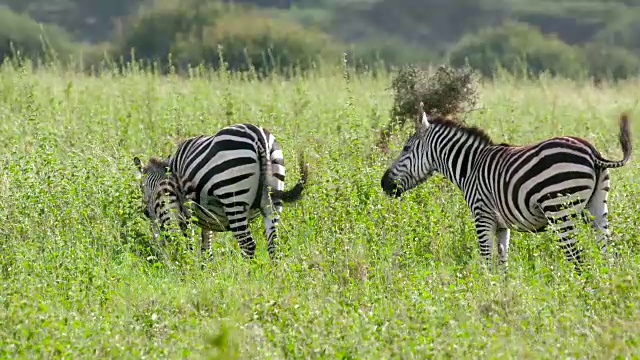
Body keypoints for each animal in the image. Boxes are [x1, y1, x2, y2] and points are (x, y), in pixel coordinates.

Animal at [132, 123, 308, 258]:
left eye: (142, 187)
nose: (147, 213)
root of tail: (260, 139)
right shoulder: (206, 214)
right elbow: (206, 243)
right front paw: (205, 268)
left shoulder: (185, 211)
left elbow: (188, 239)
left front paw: (189, 265)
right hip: (273, 199)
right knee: (273, 243)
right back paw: (273, 275)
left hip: (233, 197)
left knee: (248, 245)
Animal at [380, 104, 632, 272]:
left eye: (405, 148)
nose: (384, 184)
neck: (470, 167)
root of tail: (593, 152)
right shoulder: (502, 224)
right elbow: (502, 263)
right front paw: (503, 291)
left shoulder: (482, 216)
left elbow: (486, 260)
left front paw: (485, 291)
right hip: (598, 207)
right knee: (607, 254)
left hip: (559, 210)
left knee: (577, 258)